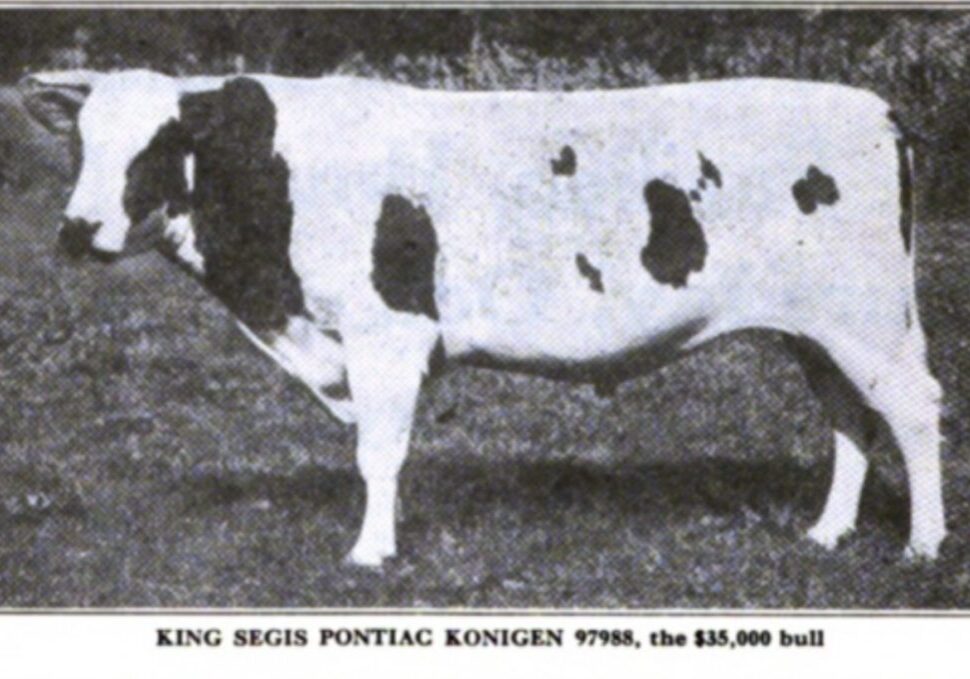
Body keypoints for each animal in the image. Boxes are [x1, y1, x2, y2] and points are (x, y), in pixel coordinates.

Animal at [36, 69, 945, 568]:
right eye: (80, 142)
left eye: (157, 145)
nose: (76, 228)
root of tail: (874, 108)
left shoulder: (387, 330)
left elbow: (378, 452)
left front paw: (370, 551)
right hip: (816, 329)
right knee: (849, 417)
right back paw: (827, 532)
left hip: (868, 316)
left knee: (911, 408)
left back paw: (924, 545)